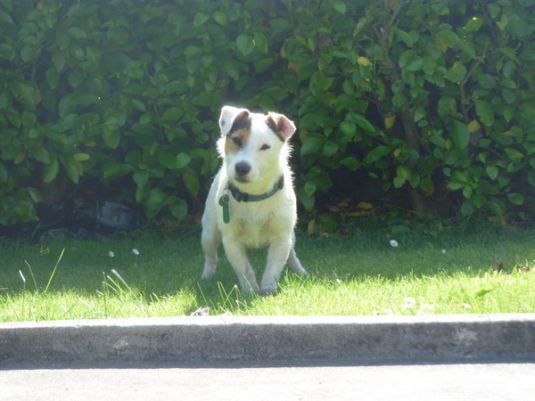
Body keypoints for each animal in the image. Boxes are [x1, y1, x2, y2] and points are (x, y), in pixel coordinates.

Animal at [201, 104, 310, 292]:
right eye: (237, 140)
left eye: (265, 147)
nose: (241, 168)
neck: (254, 195)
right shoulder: (231, 240)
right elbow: (244, 268)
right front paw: (250, 291)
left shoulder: (282, 237)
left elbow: (274, 266)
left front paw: (267, 289)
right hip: (209, 231)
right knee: (210, 256)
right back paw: (207, 276)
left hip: (291, 236)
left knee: (291, 253)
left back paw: (299, 271)